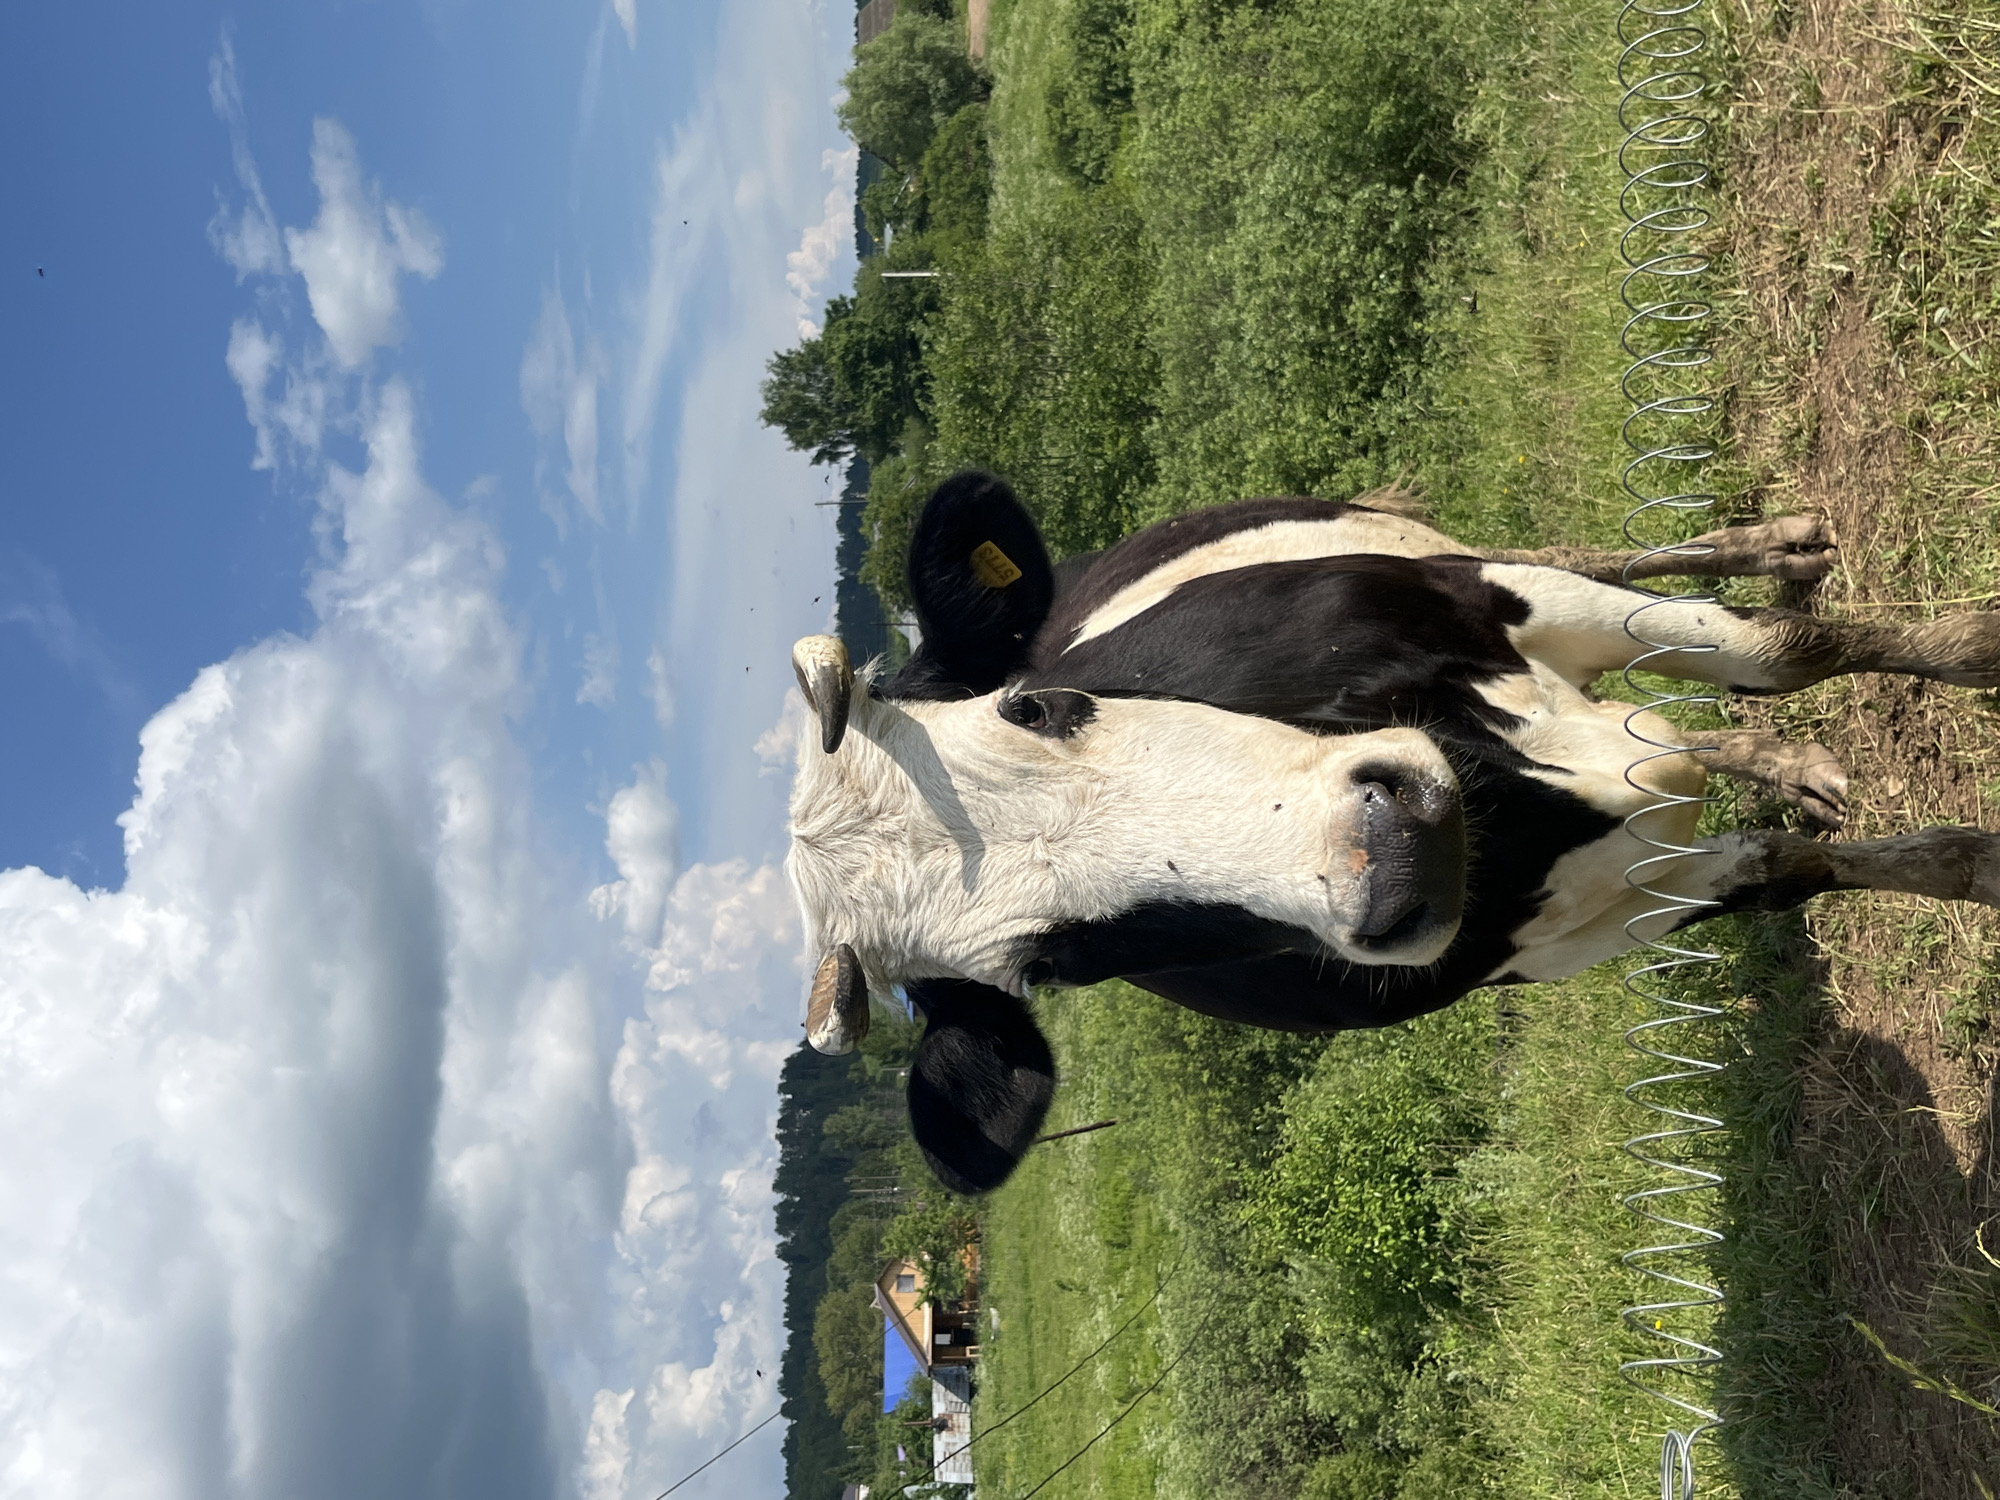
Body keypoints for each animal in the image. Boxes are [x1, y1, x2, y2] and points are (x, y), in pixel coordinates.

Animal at [787, 471, 2000, 1194]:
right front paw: (1957, 857)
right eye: (1055, 962)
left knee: (1611, 562)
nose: (1386, 859)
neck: (1520, 808)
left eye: (1037, 708)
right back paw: (1779, 760)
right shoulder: (1603, 923)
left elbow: (1788, 652)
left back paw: (1779, 549)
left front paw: (1972, 649)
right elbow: (1791, 868)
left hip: (1416, 542)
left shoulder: (1492, 592)